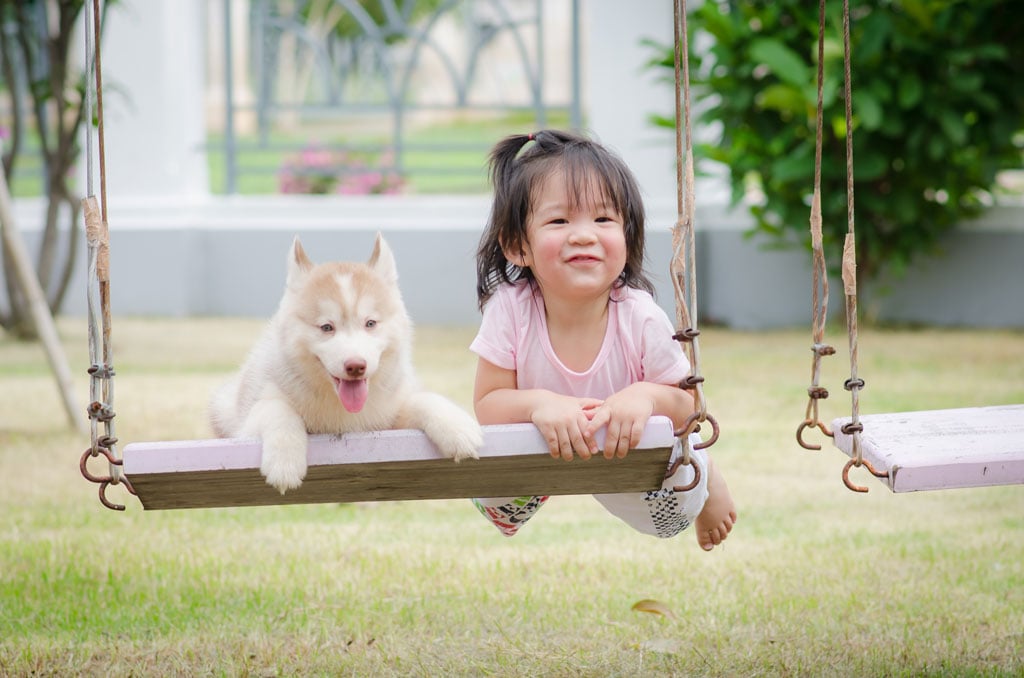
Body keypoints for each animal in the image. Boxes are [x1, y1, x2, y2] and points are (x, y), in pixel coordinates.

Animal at [208, 233, 483, 493]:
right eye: (326, 327)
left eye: (370, 323)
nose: (356, 366)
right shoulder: (249, 422)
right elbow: (277, 410)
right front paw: (284, 463)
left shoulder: (389, 419)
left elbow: (422, 399)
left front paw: (458, 428)